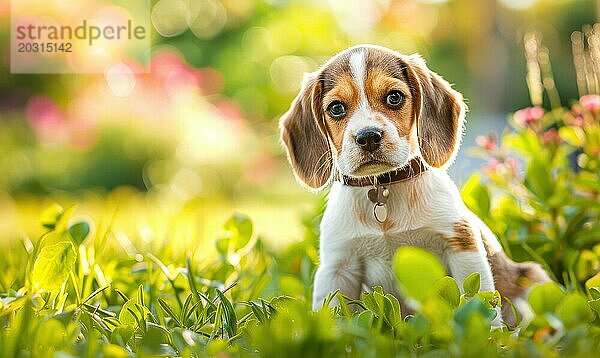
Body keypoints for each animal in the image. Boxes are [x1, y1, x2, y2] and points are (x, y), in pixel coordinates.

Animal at [278, 44, 552, 324]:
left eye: (394, 97)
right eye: (336, 108)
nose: (368, 137)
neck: (383, 188)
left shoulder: (462, 245)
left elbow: (479, 302)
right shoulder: (337, 268)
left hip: (533, 278)